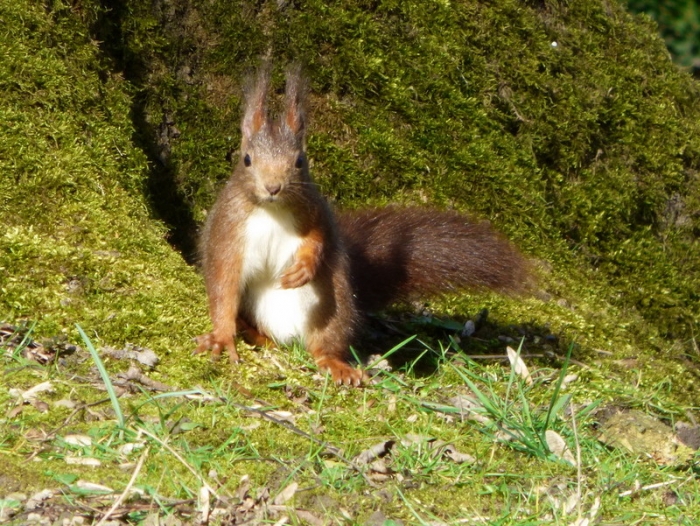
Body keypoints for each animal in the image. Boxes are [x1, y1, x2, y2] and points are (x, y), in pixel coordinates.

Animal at [195, 65, 531, 386]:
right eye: (247, 160)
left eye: (300, 161)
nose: (273, 187)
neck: (272, 210)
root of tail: (289, 336)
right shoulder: (228, 229)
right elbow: (223, 286)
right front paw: (222, 337)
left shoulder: (315, 211)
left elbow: (319, 239)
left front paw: (305, 266)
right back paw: (252, 332)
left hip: (334, 309)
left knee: (325, 346)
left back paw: (336, 365)